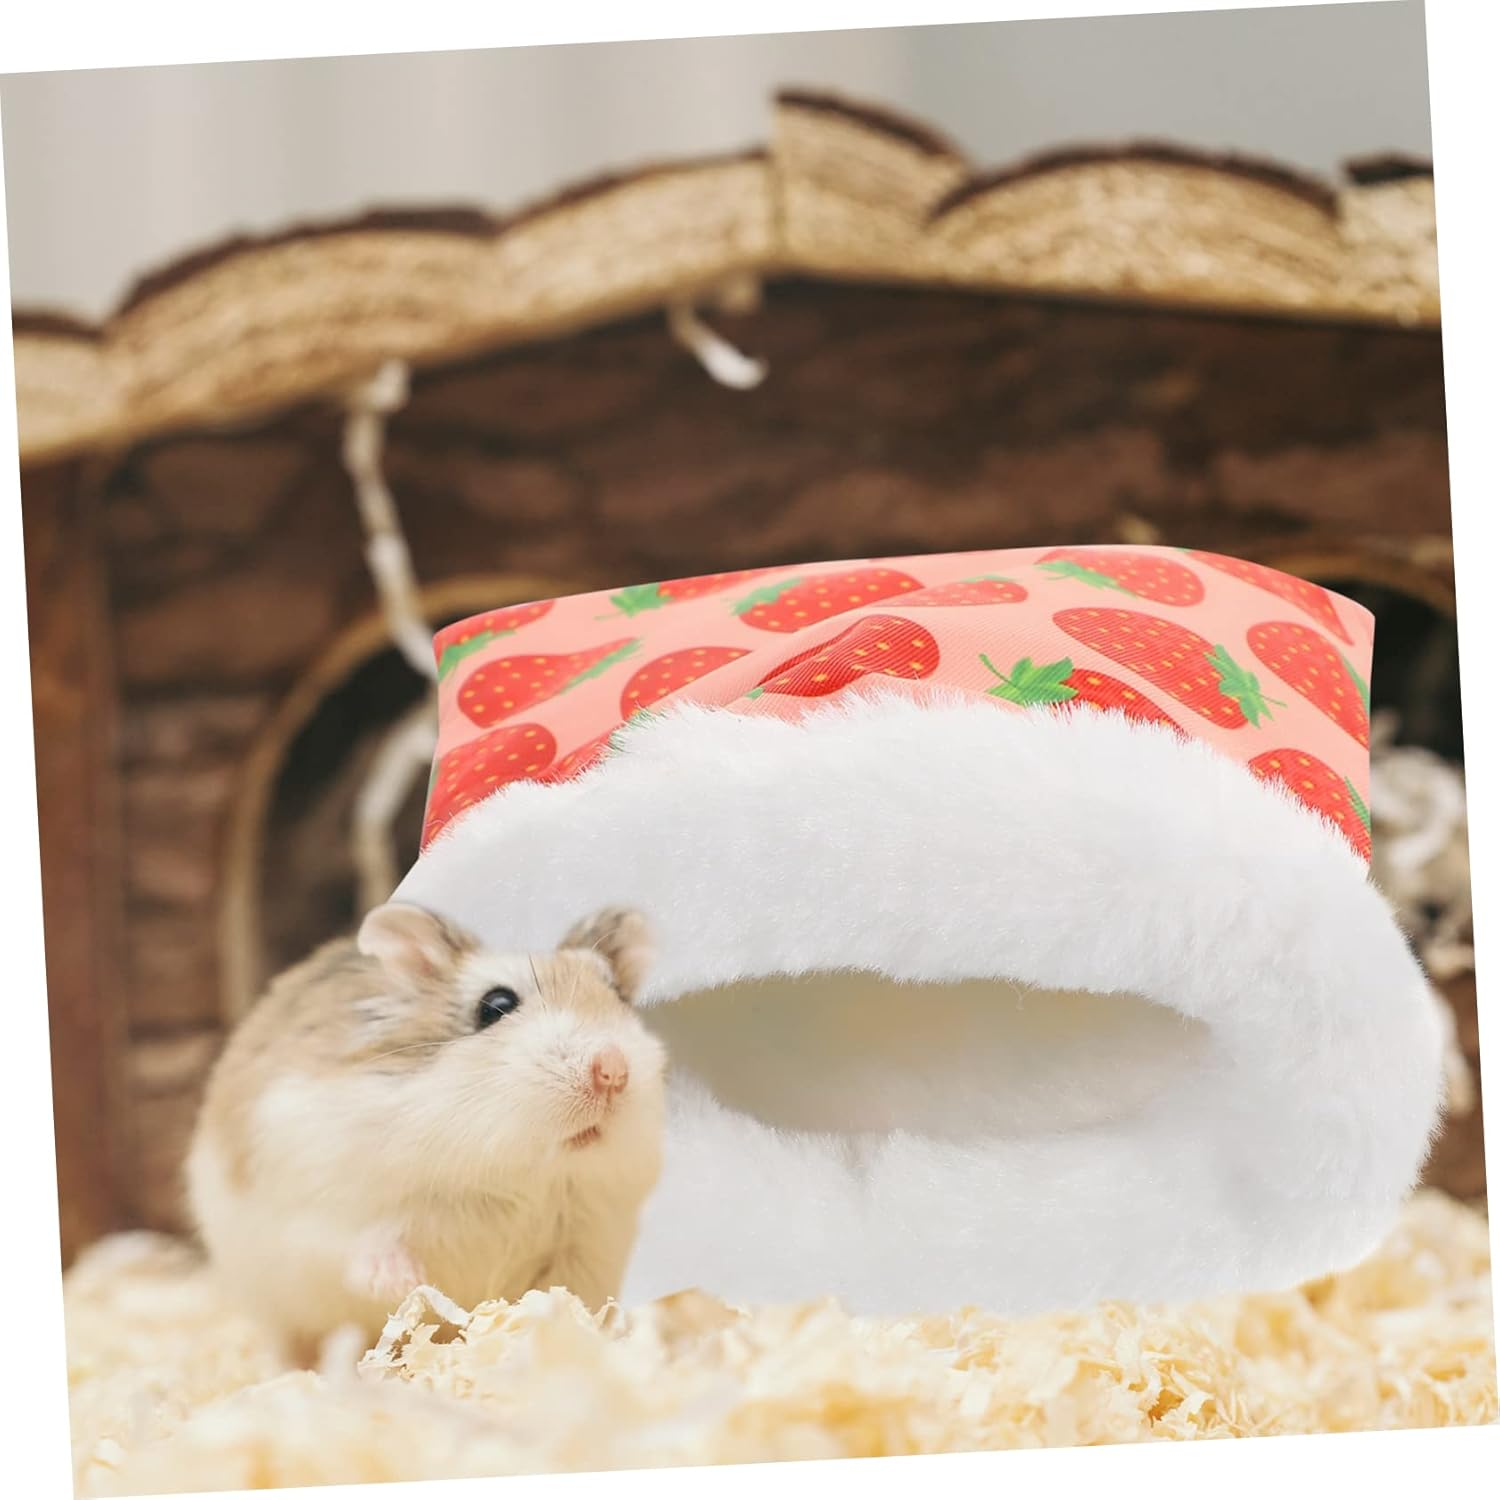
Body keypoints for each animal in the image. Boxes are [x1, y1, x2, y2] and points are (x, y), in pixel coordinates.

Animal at [185, 903, 667, 1360]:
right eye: (496, 1005)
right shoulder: (326, 1205)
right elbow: (364, 1244)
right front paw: (403, 1284)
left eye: (617, 995)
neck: (519, 1171)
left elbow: (565, 1299)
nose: (613, 1070)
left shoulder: (588, 1243)